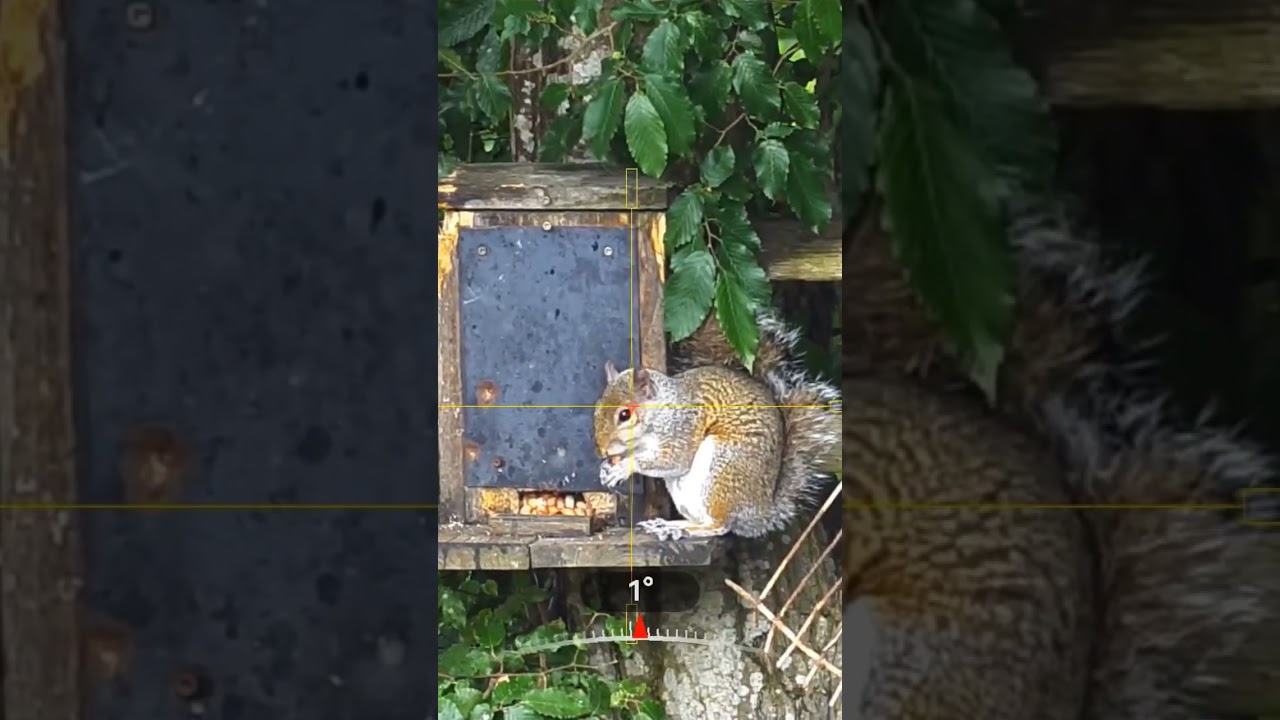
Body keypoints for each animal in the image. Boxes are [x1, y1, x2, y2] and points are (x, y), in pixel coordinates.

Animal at [592, 311, 840, 541]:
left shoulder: (682, 429)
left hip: (721, 469)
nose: (601, 451)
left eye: (625, 414)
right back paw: (671, 525)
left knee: (719, 526)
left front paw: (623, 467)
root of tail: (760, 513)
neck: (661, 411)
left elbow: (672, 460)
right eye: (596, 407)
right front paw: (607, 468)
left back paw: (678, 529)